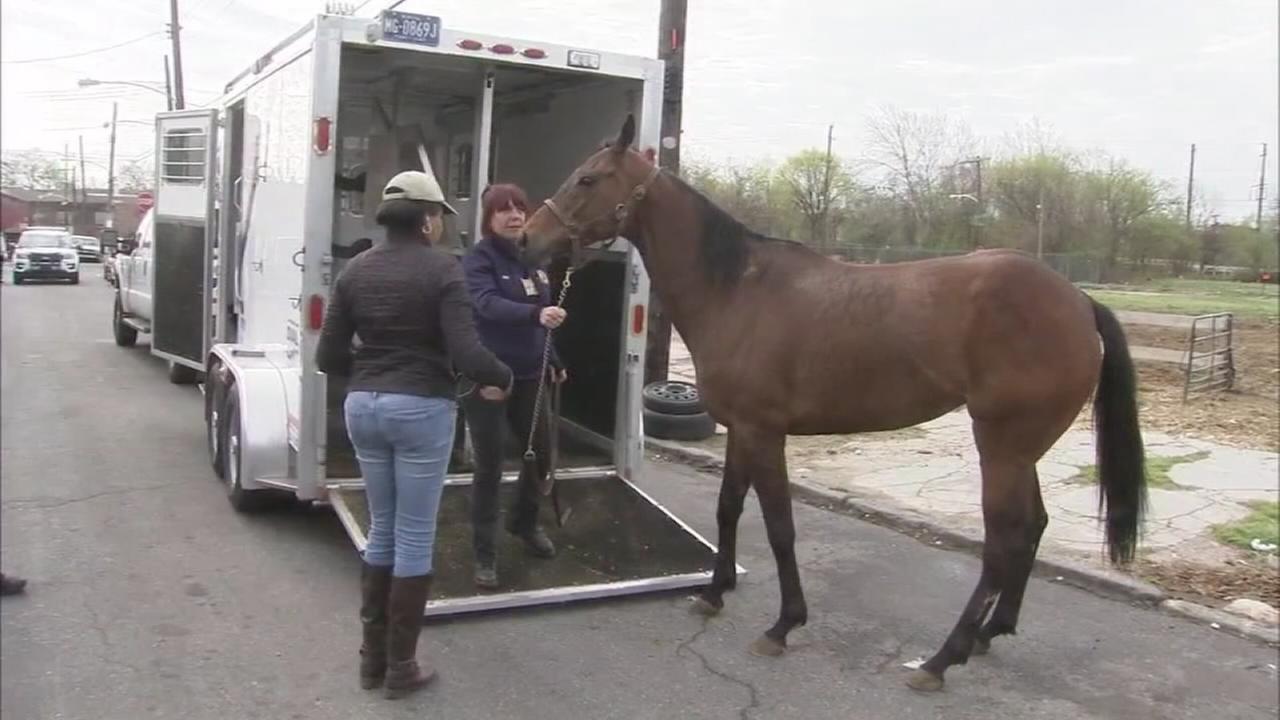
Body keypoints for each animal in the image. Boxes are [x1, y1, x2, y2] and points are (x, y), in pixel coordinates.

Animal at [522, 115, 1147, 692]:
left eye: (587, 178)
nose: (529, 237)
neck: (737, 290)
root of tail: (1080, 302)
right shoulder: (741, 430)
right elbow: (728, 510)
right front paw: (714, 593)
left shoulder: (765, 432)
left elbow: (780, 527)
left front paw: (783, 625)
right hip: (1021, 450)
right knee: (1033, 527)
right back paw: (991, 633)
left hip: (1000, 447)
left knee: (1004, 541)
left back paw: (942, 659)